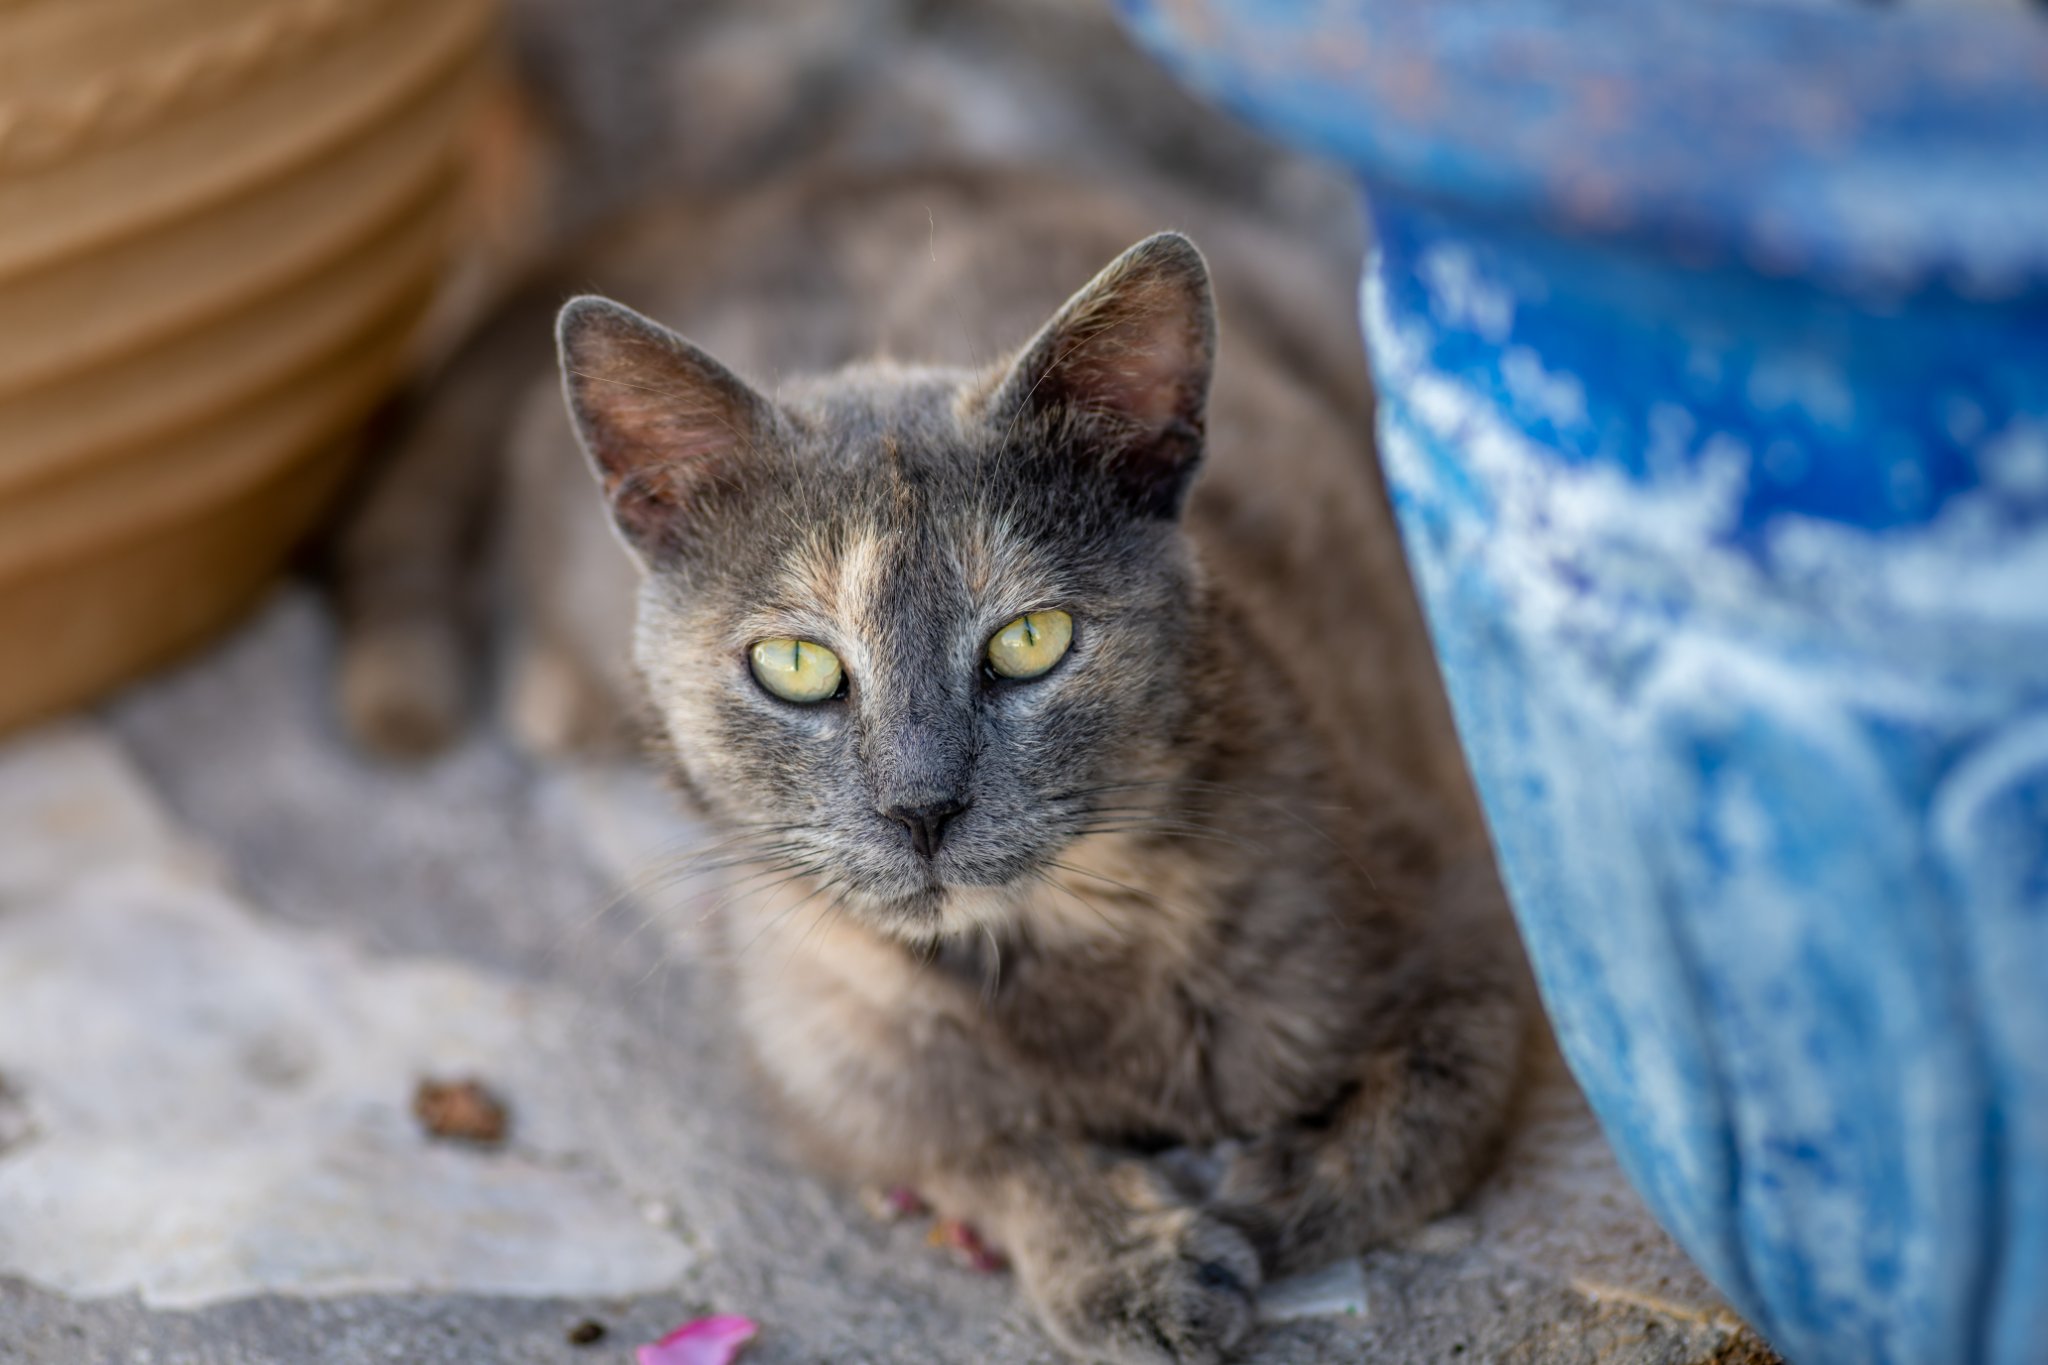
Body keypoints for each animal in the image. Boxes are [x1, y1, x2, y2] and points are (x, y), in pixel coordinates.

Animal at [372, 167, 1540, 1365]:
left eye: (1031, 640)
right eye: (795, 665)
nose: (920, 805)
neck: (1049, 951)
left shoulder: (1470, 919)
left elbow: (1435, 1114)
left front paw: (1267, 1191)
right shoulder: (820, 1050)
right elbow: (973, 1137)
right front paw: (1124, 1258)